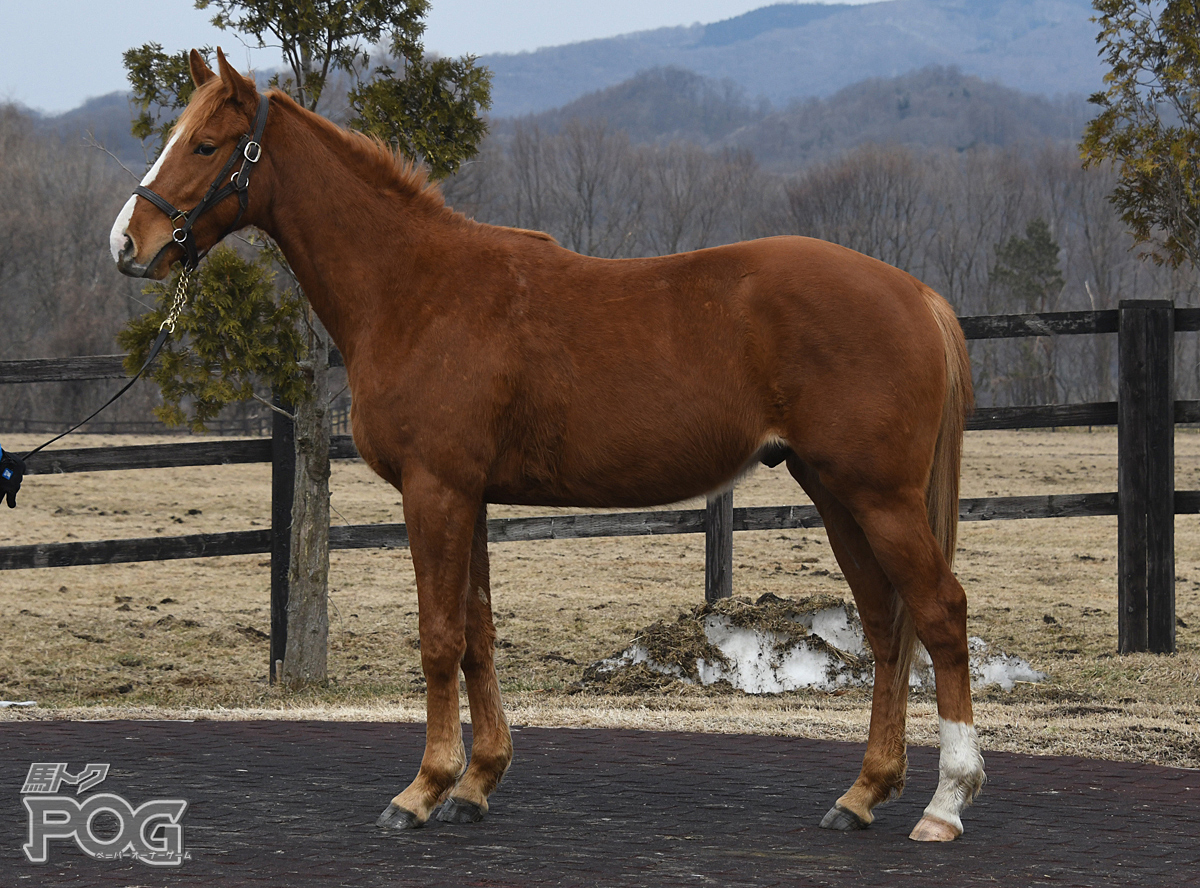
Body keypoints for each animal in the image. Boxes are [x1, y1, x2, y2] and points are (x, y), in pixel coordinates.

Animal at [110, 51, 984, 844]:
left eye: (206, 144)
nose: (128, 242)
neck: (414, 289)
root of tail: (915, 293)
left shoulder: (435, 490)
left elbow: (439, 640)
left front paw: (421, 790)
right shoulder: (468, 496)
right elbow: (477, 636)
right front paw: (475, 784)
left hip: (879, 498)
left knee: (939, 614)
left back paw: (944, 805)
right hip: (837, 496)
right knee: (886, 627)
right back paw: (863, 794)